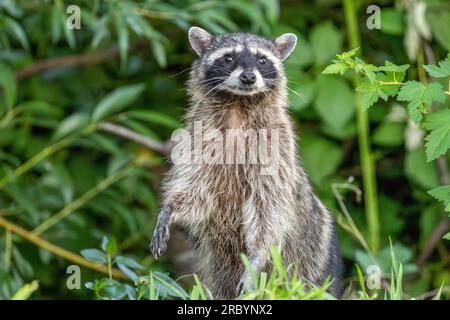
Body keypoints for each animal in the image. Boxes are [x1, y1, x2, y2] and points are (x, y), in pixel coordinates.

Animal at [151, 26, 344, 298]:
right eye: (229, 57)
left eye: (262, 60)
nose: (248, 77)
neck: (237, 104)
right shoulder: (199, 141)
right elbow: (197, 192)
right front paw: (169, 208)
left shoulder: (276, 148)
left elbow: (270, 210)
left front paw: (257, 257)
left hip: (312, 265)